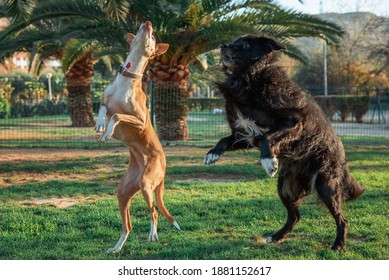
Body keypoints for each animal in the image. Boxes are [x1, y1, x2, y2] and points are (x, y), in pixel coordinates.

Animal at [94, 20, 180, 254]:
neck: (127, 78)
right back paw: (117, 247)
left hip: (147, 184)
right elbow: (103, 109)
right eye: (142, 29)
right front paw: (100, 125)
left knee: (154, 212)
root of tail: (164, 165)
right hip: (124, 192)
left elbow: (116, 115)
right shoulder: (105, 101)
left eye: (153, 37)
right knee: (128, 226)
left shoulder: (140, 119)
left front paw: (108, 131)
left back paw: (153, 234)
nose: (148, 23)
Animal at [205, 34, 366, 252]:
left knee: (342, 219)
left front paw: (268, 162)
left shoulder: (294, 122)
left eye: (245, 44)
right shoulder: (246, 134)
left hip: (325, 183)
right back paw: (277, 236)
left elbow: (267, 139)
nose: (222, 46)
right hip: (284, 187)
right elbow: (225, 140)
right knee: (295, 216)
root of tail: (342, 160)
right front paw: (212, 154)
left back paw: (339, 245)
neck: (250, 78)